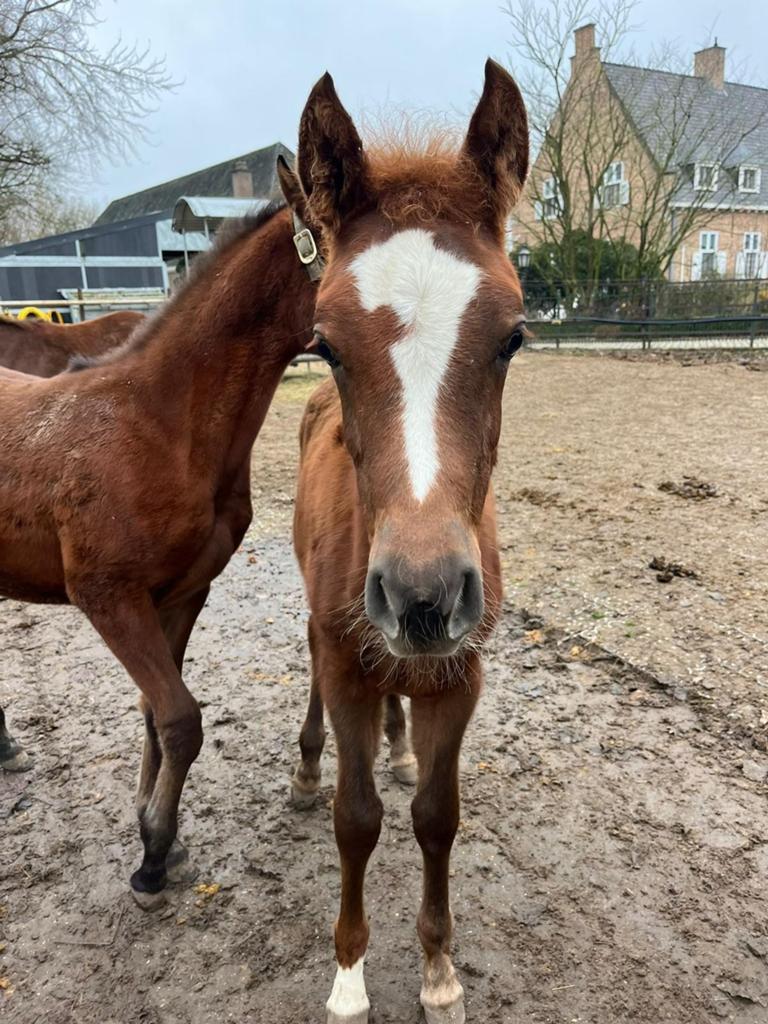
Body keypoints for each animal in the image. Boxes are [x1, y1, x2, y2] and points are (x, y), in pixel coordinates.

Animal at [287, 61, 529, 1024]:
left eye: (513, 338)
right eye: (324, 344)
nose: (422, 595)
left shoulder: (460, 674)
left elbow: (436, 816)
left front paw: (438, 970)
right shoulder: (347, 657)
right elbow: (357, 821)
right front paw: (350, 979)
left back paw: (395, 741)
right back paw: (309, 772)